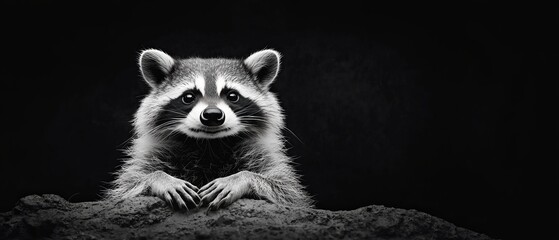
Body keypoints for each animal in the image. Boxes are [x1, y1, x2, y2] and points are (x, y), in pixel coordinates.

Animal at [106, 48, 316, 210]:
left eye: (232, 96)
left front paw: (241, 178)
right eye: (188, 97)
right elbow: (126, 188)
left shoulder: (262, 155)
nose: (213, 115)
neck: (209, 145)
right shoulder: (152, 156)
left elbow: (287, 192)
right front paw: (160, 179)